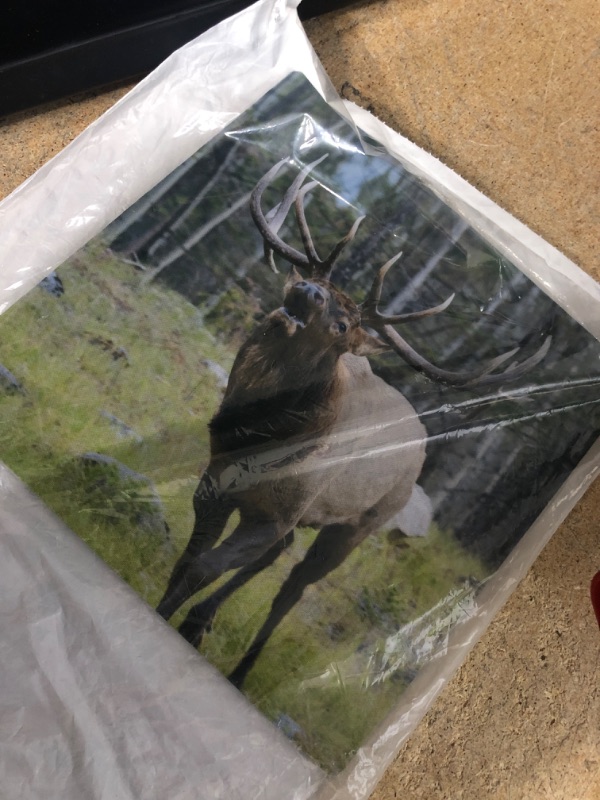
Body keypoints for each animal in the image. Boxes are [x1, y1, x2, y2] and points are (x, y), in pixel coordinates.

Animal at [156, 156, 552, 688]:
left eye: (343, 326)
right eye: (317, 287)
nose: (305, 291)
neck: (264, 439)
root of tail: (421, 438)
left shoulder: (276, 511)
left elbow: (205, 566)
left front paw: (161, 619)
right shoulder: (216, 484)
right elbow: (189, 558)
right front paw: (167, 610)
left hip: (364, 521)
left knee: (293, 587)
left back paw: (239, 670)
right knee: (276, 555)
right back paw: (201, 624)